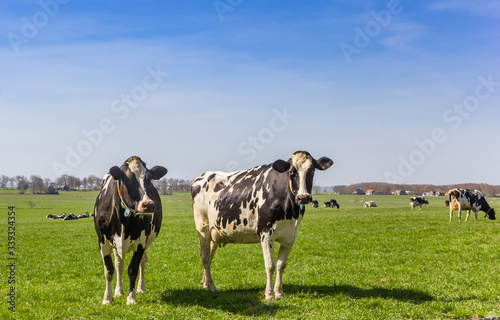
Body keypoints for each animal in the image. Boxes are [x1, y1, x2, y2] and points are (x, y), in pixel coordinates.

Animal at [94, 157, 169, 304]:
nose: (148, 205)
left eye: (149, 179)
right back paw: (118, 291)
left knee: (143, 262)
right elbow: (109, 271)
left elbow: (133, 269)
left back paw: (140, 288)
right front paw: (107, 299)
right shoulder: (102, 241)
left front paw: (131, 298)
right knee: (119, 265)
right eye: (127, 180)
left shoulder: (141, 242)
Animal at [191, 150, 332, 300]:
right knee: (205, 258)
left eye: (312, 171)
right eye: (292, 172)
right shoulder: (265, 232)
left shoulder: (290, 236)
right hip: (203, 228)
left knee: (210, 255)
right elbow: (270, 265)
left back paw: (206, 283)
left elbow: (281, 265)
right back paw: (212, 286)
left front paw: (279, 292)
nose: (303, 197)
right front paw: (269, 294)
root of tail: (203, 176)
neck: (289, 209)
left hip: (215, 232)